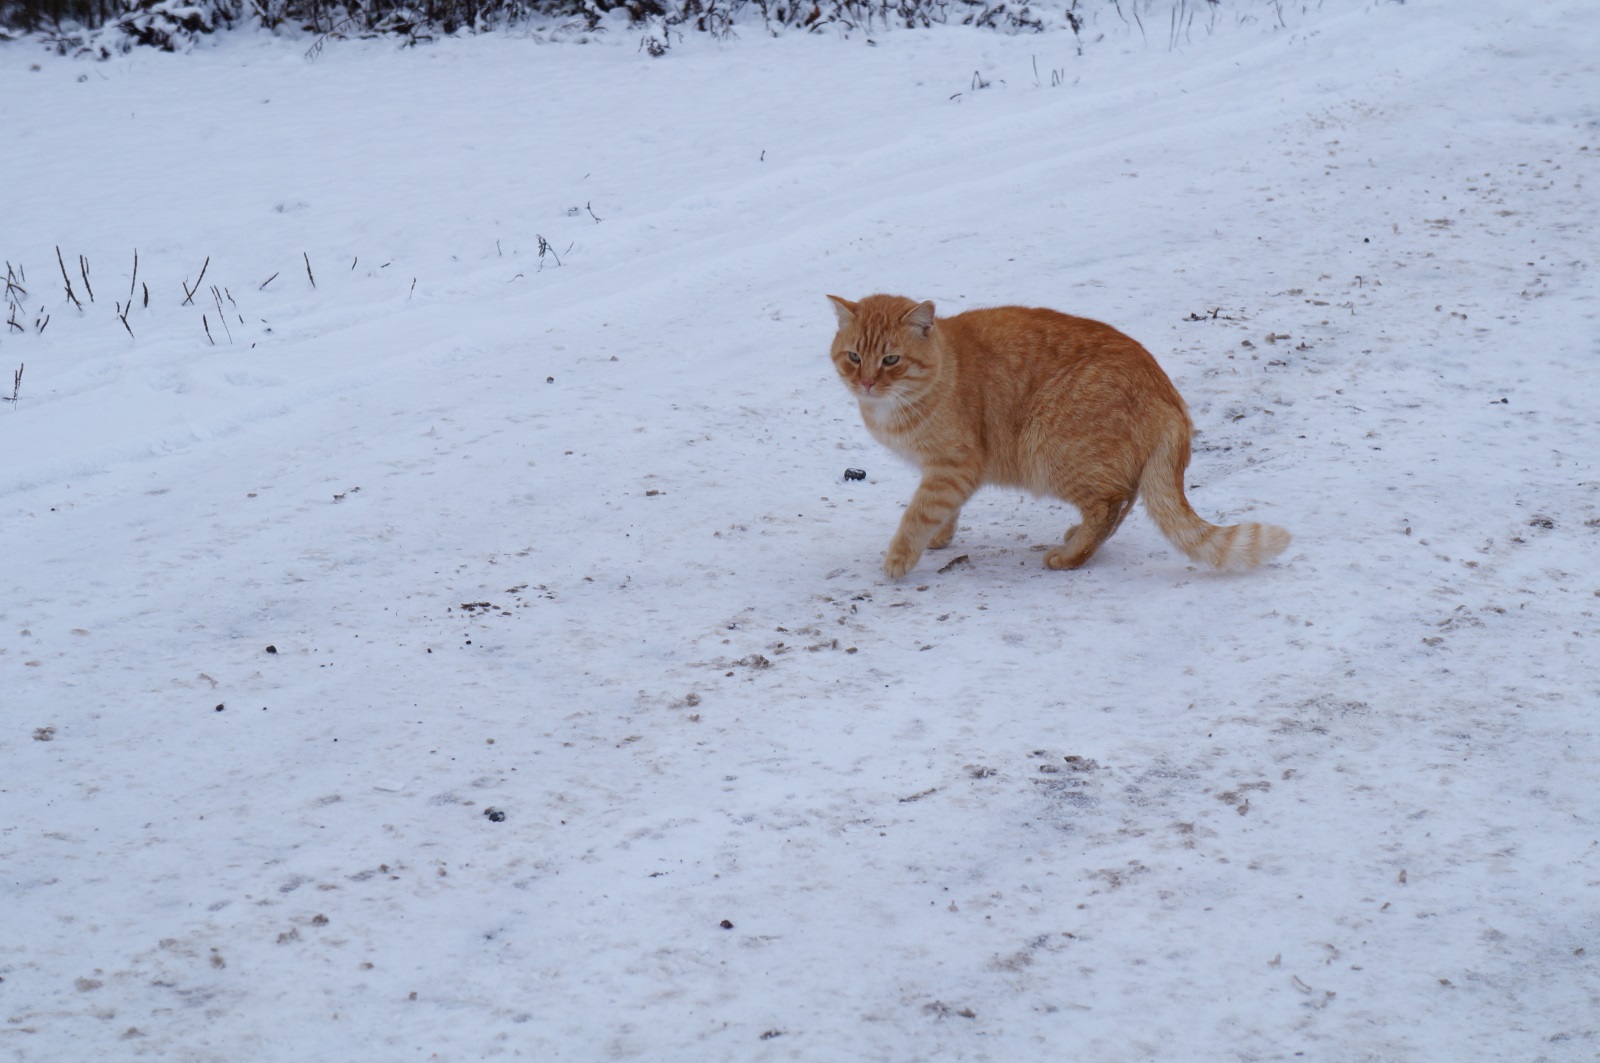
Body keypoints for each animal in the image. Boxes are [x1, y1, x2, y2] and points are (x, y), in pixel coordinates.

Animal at [825, 292, 1286, 582]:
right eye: (854, 357)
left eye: (890, 360)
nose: (866, 383)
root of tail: (1169, 395)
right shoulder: (947, 472)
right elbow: (942, 509)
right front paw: (940, 536)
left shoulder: (956, 464)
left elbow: (917, 513)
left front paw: (901, 557)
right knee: (1124, 499)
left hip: (1047, 449)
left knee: (1109, 503)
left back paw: (1069, 556)